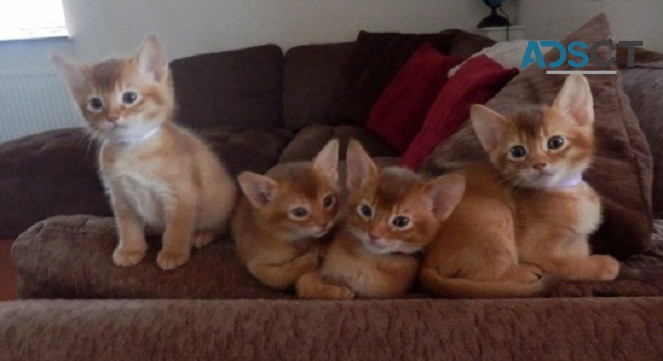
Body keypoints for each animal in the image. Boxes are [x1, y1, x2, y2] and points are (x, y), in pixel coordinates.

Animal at [53, 34, 237, 270]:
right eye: (95, 103)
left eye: (130, 98)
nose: (112, 117)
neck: (133, 150)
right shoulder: (120, 196)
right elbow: (128, 228)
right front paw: (131, 249)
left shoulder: (180, 196)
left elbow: (177, 228)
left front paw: (173, 252)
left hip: (218, 206)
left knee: (220, 227)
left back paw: (202, 235)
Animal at [231, 139, 340, 288]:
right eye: (299, 212)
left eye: (328, 201)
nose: (324, 223)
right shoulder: (256, 266)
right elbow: (286, 274)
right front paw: (315, 254)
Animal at [298, 141, 464, 298]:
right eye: (366, 210)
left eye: (401, 222)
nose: (373, 235)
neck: (366, 260)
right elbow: (304, 282)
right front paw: (338, 291)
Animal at [422, 74, 620, 296]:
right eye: (517, 152)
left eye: (555, 142)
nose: (539, 164)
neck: (565, 191)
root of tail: (427, 259)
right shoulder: (537, 250)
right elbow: (569, 264)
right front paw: (601, 265)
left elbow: (579, 248)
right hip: (494, 212)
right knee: (481, 277)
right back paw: (524, 273)